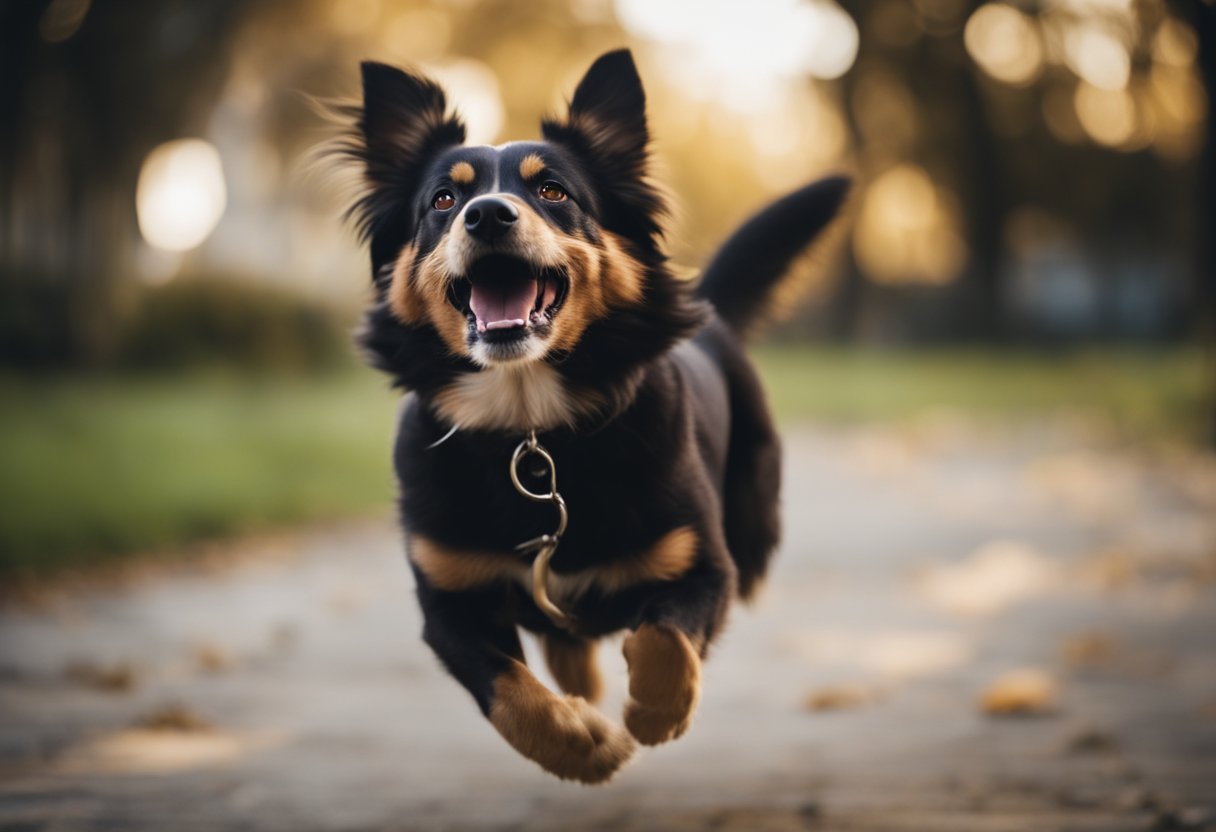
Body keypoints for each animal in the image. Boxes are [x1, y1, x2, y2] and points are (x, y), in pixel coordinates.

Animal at [330, 48, 846, 783]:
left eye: (553, 192)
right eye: (443, 201)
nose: (487, 215)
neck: (529, 426)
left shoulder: (703, 567)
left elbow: (663, 640)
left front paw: (655, 712)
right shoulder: (447, 601)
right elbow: (506, 690)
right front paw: (579, 744)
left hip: (754, 526)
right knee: (560, 645)